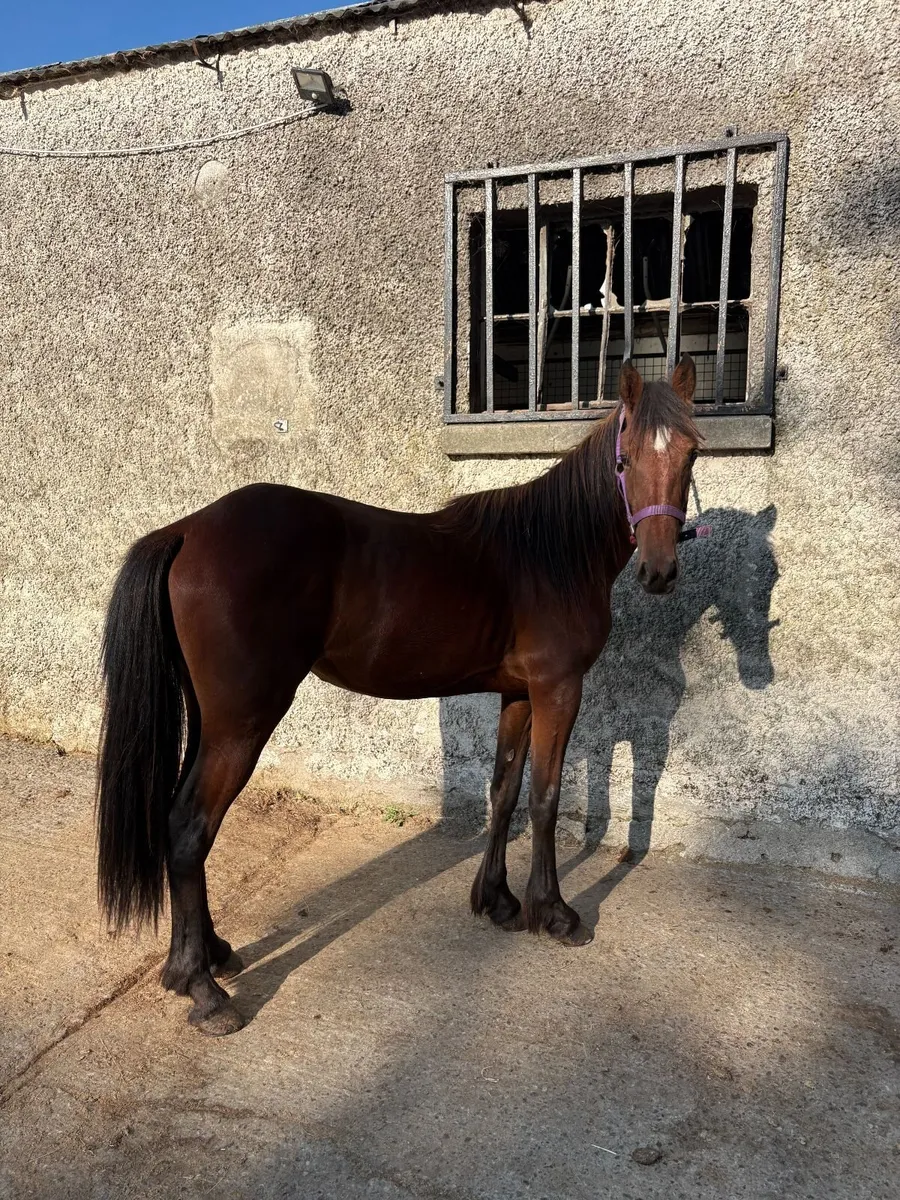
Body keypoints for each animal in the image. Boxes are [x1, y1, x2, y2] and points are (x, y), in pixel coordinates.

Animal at [96, 355, 702, 1035]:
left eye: (691, 451)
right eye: (626, 456)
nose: (660, 572)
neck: (550, 555)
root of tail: (188, 529)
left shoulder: (519, 696)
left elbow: (504, 791)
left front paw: (498, 901)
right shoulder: (558, 690)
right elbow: (545, 798)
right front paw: (555, 913)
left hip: (209, 719)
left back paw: (208, 956)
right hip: (241, 725)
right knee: (189, 827)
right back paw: (202, 989)